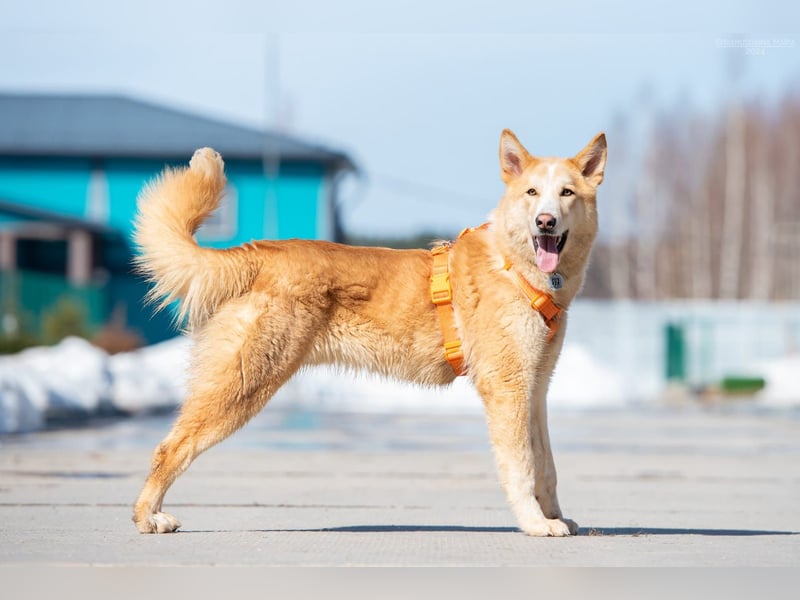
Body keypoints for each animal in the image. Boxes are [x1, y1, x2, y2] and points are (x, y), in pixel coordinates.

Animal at [131, 130, 608, 536]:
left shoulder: (535, 390)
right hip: (244, 384)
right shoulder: (507, 388)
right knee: (169, 448)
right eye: (532, 193)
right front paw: (534, 524)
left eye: (566, 193)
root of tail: (259, 253)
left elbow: (546, 467)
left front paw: (555, 517)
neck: (515, 267)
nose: (545, 222)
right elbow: (522, 467)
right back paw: (148, 516)